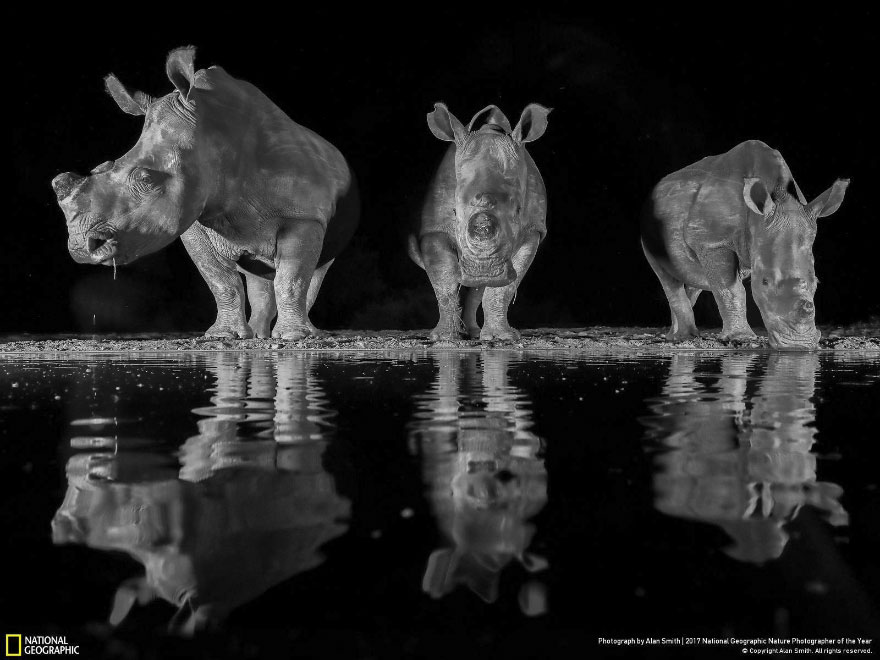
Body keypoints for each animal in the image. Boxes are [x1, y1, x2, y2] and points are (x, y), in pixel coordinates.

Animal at [52, 47, 358, 340]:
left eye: (146, 179)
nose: (80, 248)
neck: (215, 137)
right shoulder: (193, 222)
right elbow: (220, 280)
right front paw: (223, 335)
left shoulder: (303, 216)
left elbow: (292, 279)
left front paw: (294, 337)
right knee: (260, 276)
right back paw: (258, 335)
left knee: (313, 271)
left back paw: (304, 333)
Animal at [409, 103, 550, 341]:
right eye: (454, 211)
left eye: (518, 210)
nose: (483, 269)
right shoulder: (434, 229)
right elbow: (444, 281)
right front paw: (444, 337)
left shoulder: (533, 229)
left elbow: (504, 288)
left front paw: (501, 338)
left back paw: (475, 332)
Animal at [641, 140, 848, 349]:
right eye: (764, 282)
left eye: (817, 282)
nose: (798, 345)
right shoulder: (713, 242)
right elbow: (730, 289)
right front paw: (741, 338)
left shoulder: (711, 243)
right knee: (667, 277)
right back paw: (683, 337)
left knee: (694, 276)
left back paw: (677, 335)